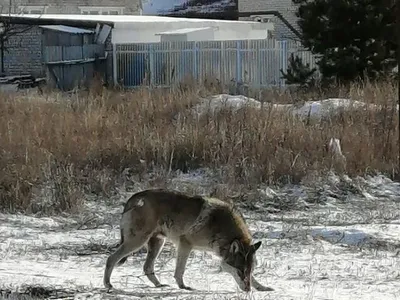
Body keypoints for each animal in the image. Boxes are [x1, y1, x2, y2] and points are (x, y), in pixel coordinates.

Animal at [103, 189, 274, 292]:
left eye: (248, 270)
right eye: (239, 271)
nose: (248, 290)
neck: (220, 228)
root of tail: (136, 195)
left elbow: (255, 278)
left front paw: (262, 287)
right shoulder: (185, 244)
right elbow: (180, 270)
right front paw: (183, 287)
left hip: (157, 243)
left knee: (147, 267)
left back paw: (159, 285)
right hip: (137, 242)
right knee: (111, 259)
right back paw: (108, 285)